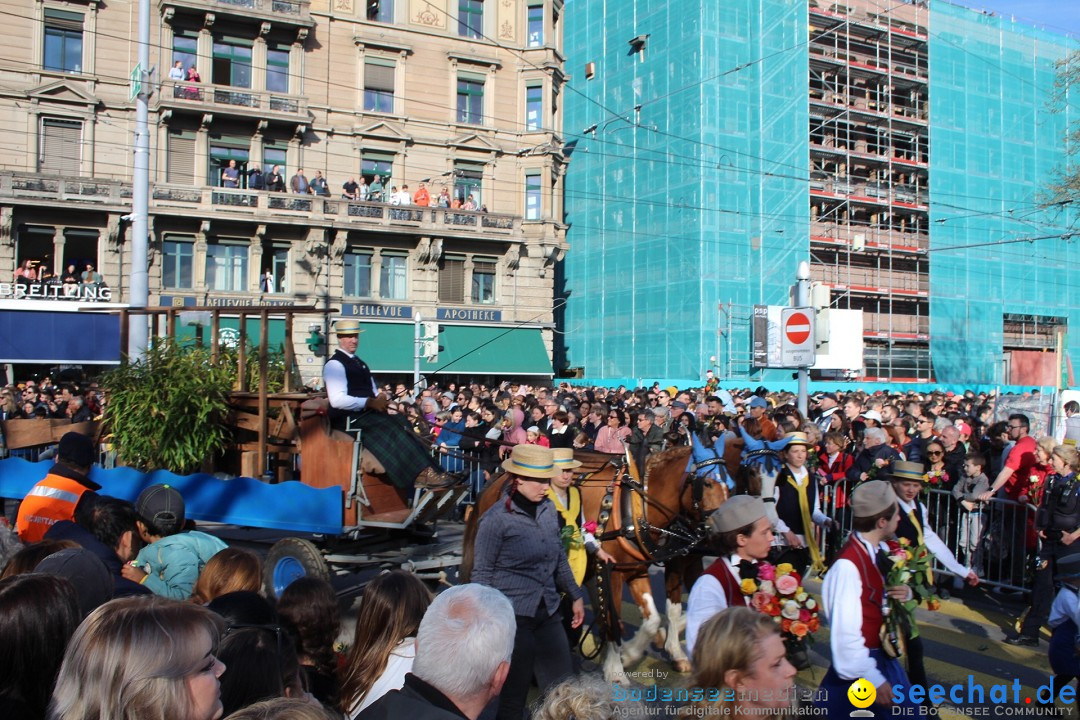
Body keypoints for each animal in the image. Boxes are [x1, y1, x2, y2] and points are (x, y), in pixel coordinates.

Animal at [455, 451, 725, 682]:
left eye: (729, 486)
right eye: (707, 484)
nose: (725, 534)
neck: (635, 507)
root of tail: (499, 477)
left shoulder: (639, 569)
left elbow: (654, 619)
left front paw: (631, 653)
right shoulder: (614, 573)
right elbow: (615, 618)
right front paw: (617, 669)